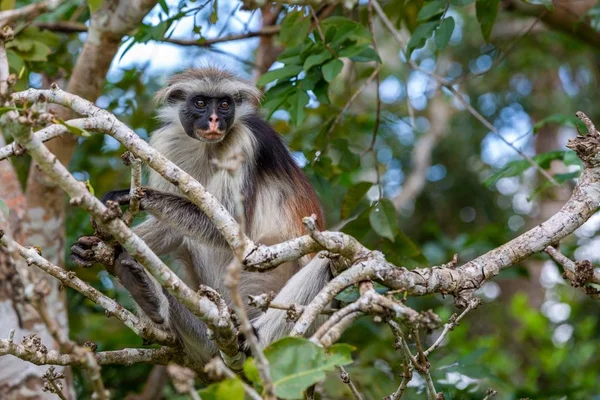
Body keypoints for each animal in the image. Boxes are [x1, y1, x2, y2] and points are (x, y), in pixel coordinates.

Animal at [72, 68, 332, 366]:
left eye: (224, 104)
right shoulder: (168, 143)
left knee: (327, 259)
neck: (209, 147)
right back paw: (143, 290)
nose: (214, 119)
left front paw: (131, 196)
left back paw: (254, 339)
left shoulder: (245, 140)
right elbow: (171, 230)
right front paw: (96, 245)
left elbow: (233, 235)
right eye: (200, 103)